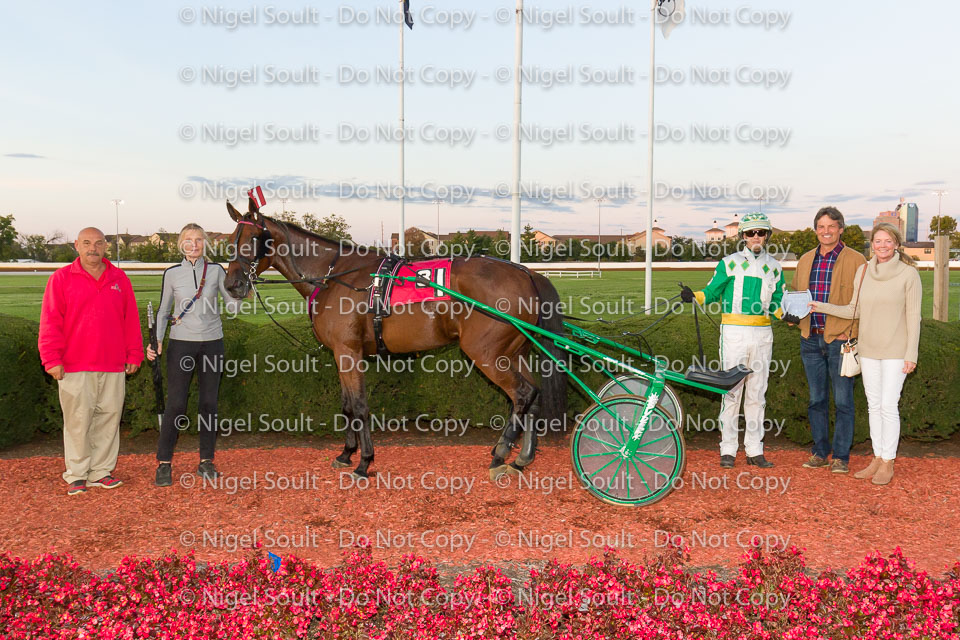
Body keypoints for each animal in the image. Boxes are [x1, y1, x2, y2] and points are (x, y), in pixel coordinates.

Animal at [222, 197, 568, 480]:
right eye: (230, 241)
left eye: (254, 239)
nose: (233, 284)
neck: (334, 276)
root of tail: (525, 272)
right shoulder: (341, 354)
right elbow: (347, 405)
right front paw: (346, 454)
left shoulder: (349, 352)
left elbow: (360, 405)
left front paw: (364, 462)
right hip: (514, 352)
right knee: (532, 397)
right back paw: (521, 458)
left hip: (486, 353)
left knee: (522, 394)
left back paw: (501, 454)